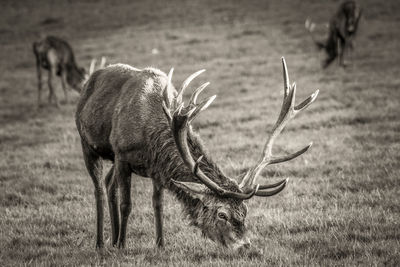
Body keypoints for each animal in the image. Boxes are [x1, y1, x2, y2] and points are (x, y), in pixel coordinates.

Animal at [75, 57, 318, 250]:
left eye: (245, 211)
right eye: (222, 214)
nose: (245, 246)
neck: (150, 135)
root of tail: (89, 81)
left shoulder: (156, 169)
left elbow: (158, 204)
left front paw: (160, 245)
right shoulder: (122, 154)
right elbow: (127, 204)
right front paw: (123, 247)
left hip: (112, 159)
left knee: (109, 184)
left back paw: (112, 238)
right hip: (88, 144)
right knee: (99, 188)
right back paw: (102, 243)